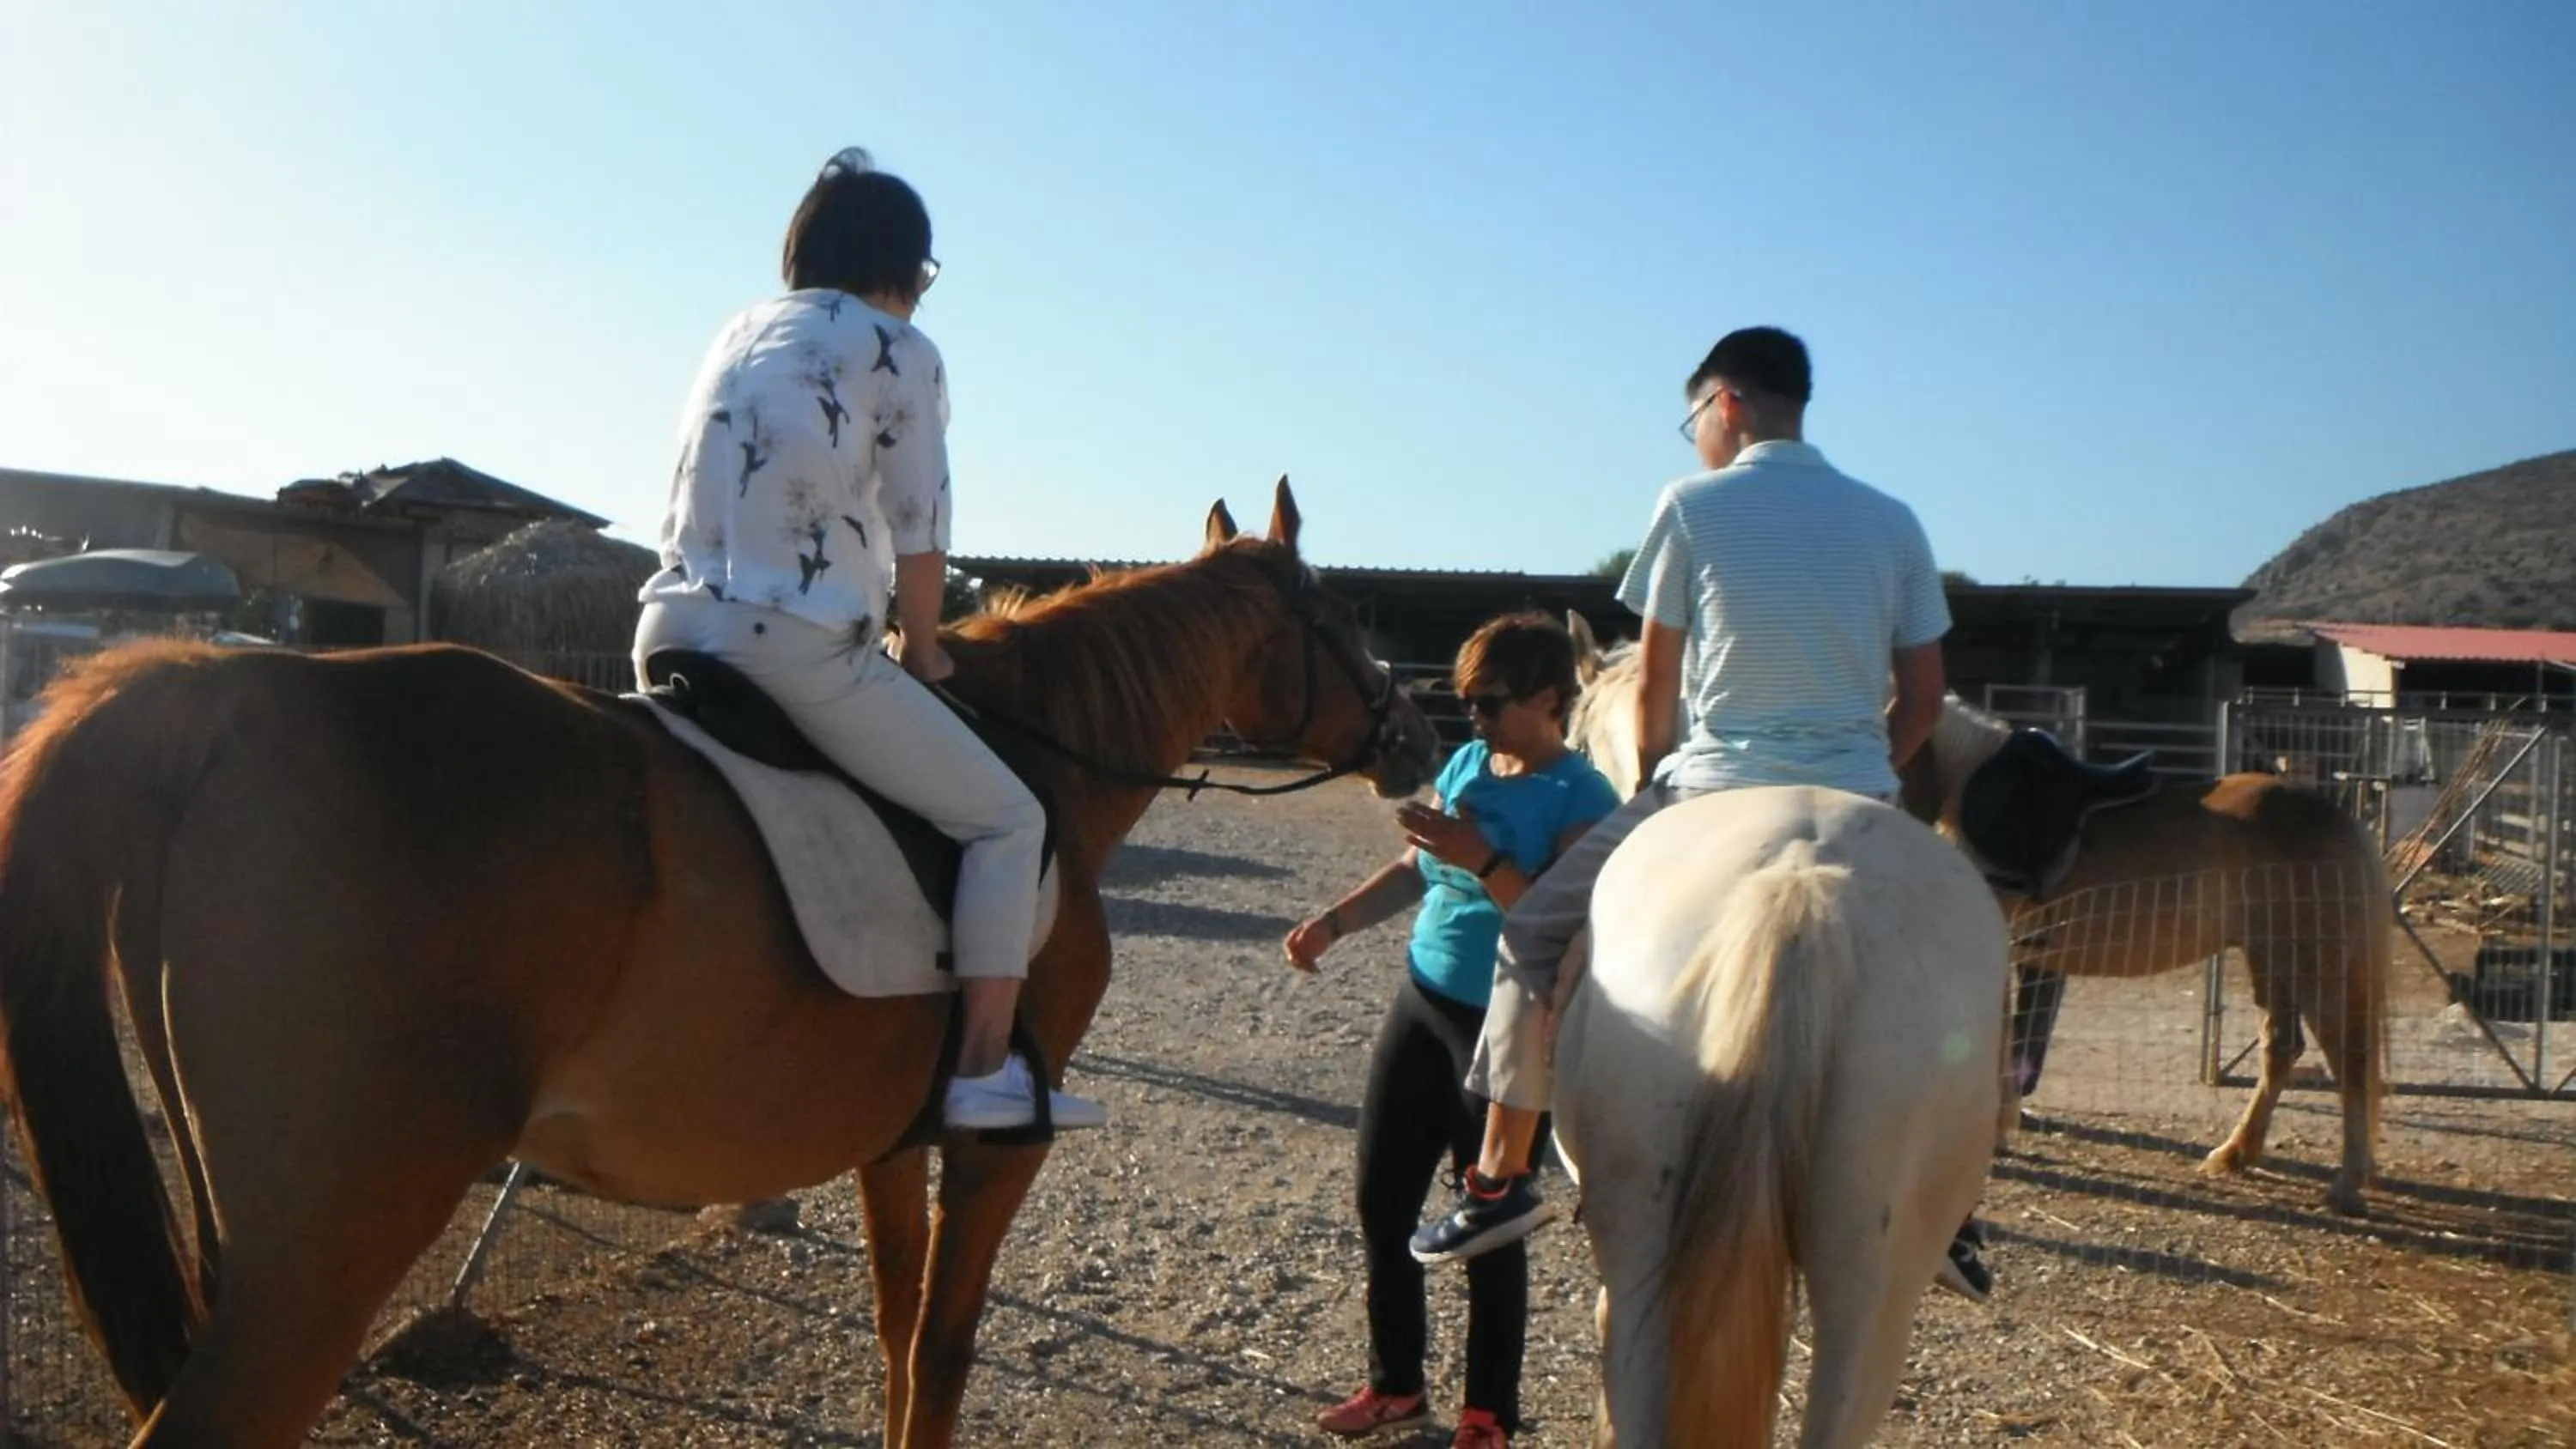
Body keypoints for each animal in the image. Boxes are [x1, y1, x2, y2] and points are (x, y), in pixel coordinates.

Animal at [0, 479, 1439, 1449]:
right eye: (1336, 614)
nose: (1417, 735)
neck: (1042, 755)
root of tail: (219, 694)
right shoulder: (995, 1146)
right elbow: (948, 1348)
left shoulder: (892, 1142)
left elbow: (899, 1336)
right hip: (322, 1259)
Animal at [1565, 619, 2391, 1216]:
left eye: (1582, 725)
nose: (1623, 797)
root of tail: (2336, 815)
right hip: (2269, 954)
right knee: (2283, 1050)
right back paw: (2237, 1154)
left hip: (2311, 955)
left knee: (2344, 1057)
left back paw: (2347, 1182)